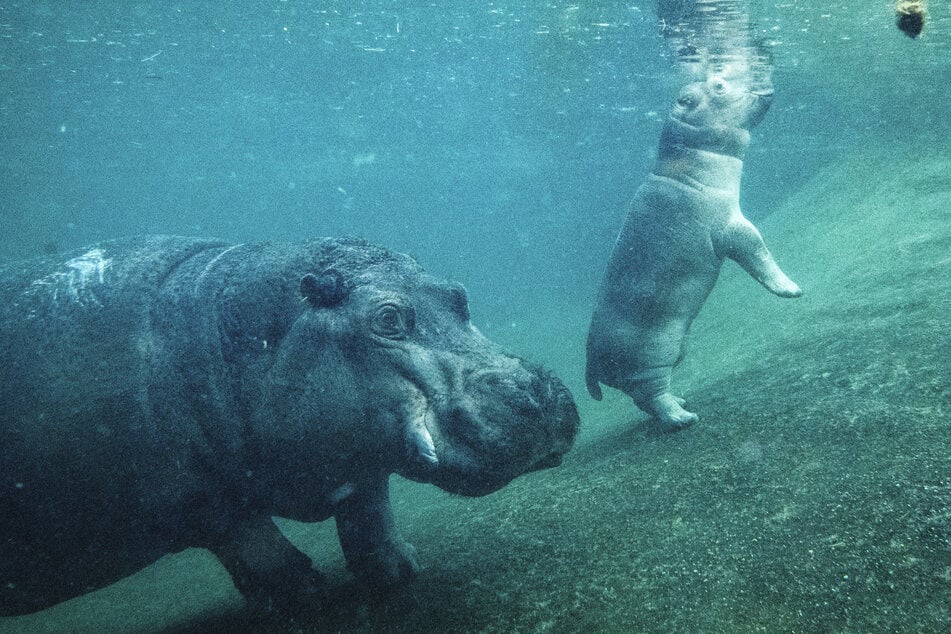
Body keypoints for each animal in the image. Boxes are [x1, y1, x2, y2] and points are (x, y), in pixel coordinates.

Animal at [0, 236, 579, 615]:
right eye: (388, 318)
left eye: (459, 295)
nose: (537, 391)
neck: (210, 328)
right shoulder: (204, 505)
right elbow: (266, 557)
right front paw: (310, 600)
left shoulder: (359, 461)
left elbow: (371, 524)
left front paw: (400, 573)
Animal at [586, 63, 801, 427]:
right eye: (718, 84)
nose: (763, 76)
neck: (689, 154)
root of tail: (589, 361)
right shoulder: (732, 226)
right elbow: (759, 252)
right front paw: (792, 289)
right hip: (651, 358)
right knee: (652, 394)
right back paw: (683, 418)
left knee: (645, 399)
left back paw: (682, 401)